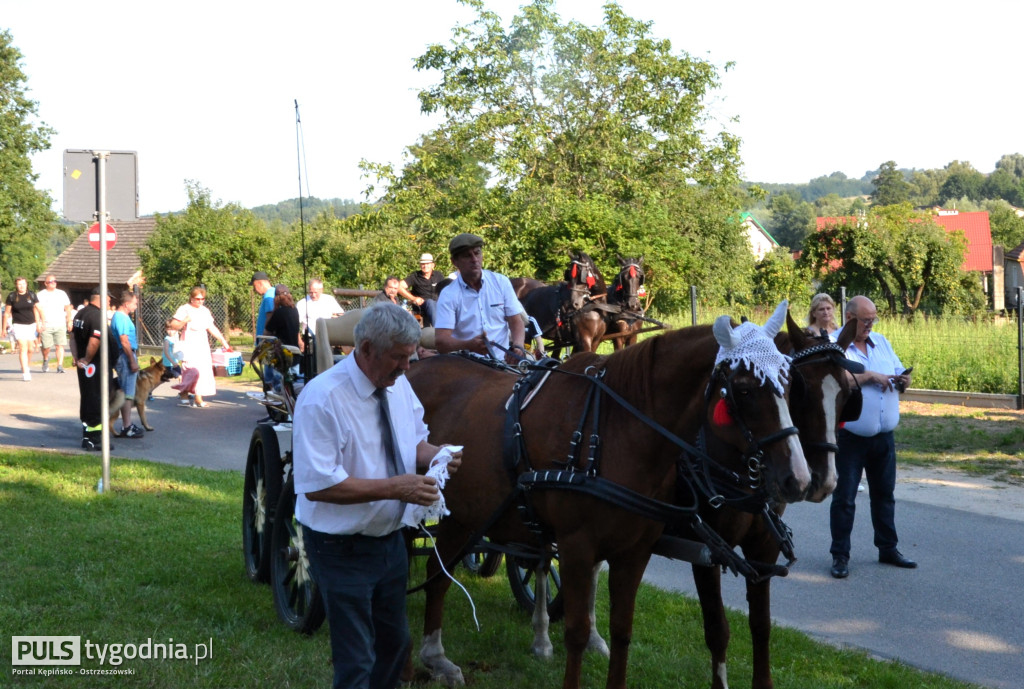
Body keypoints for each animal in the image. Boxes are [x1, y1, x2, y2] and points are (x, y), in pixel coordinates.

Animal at [403, 300, 811, 687]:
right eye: (743, 389)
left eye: (790, 385)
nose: (799, 478)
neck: (617, 430)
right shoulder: (576, 547)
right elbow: (577, 632)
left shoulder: (634, 552)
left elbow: (622, 630)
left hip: (463, 514)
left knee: (438, 572)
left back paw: (435, 655)